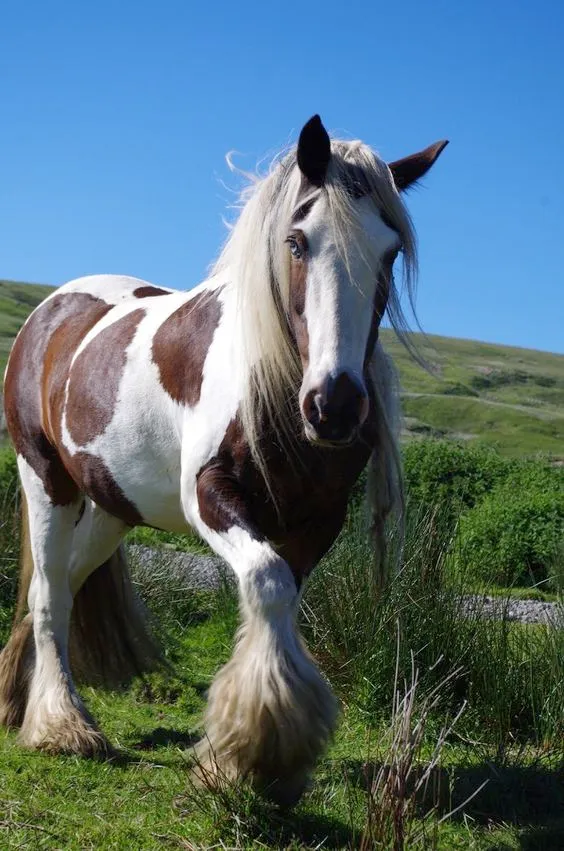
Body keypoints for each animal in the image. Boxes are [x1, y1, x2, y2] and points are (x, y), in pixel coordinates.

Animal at [0, 115, 447, 804]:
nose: (337, 406)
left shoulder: (317, 521)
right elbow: (265, 582)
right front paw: (254, 747)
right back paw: (62, 726)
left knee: (63, 587)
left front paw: (254, 756)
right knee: (50, 595)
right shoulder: (211, 495)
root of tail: (52, 310)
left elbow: (284, 597)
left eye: (390, 251)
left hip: (111, 508)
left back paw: (22, 701)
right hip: (46, 480)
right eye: (297, 242)